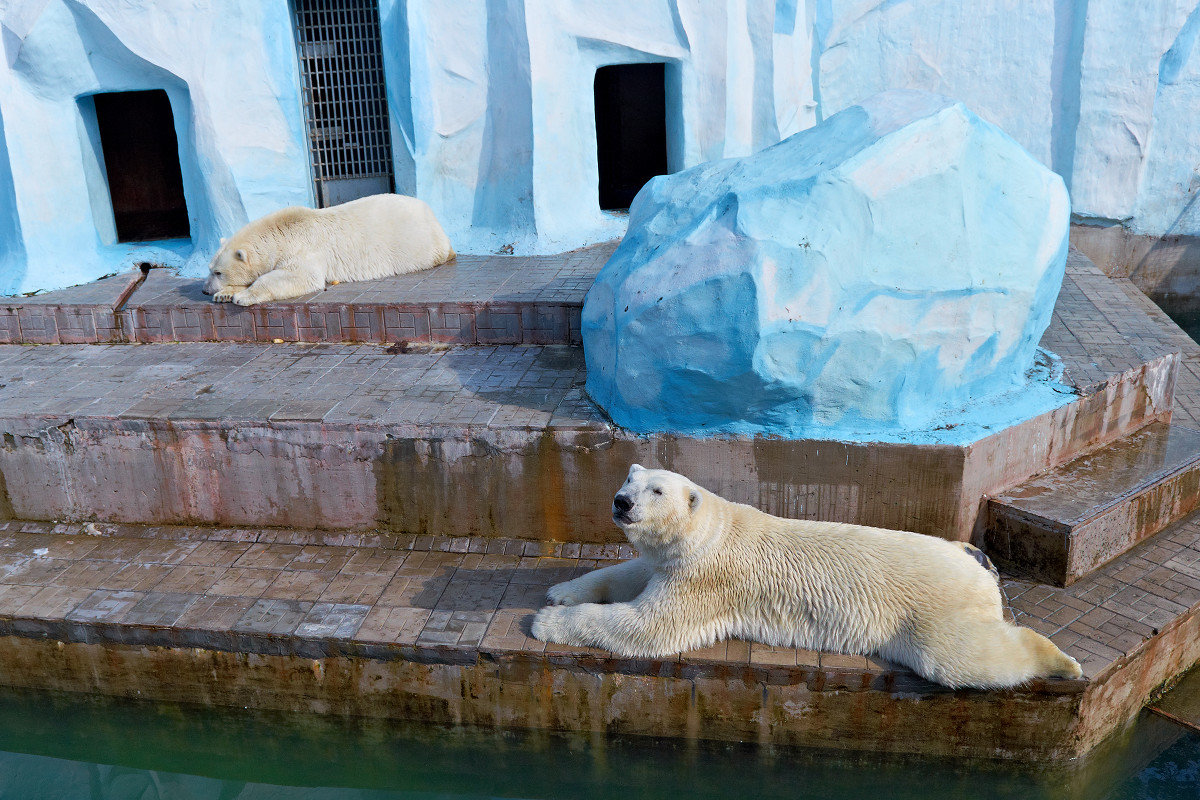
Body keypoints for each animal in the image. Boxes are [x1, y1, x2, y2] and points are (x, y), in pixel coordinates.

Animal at [201, 194, 453, 307]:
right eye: (210, 269)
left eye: (218, 272)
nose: (204, 290)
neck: (281, 232)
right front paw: (224, 294)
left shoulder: (303, 249)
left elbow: (298, 277)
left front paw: (242, 297)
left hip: (419, 242)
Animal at [530, 465, 1084, 690]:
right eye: (630, 478)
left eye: (657, 490)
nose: (621, 502)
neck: (711, 532)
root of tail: (976, 565)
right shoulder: (673, 562)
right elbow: (631, 572)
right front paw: (560, 590)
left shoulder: (705, 579)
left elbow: (646, 626)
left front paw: (543, 623)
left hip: (932, 611)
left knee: (962, 657)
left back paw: (1061, 661)